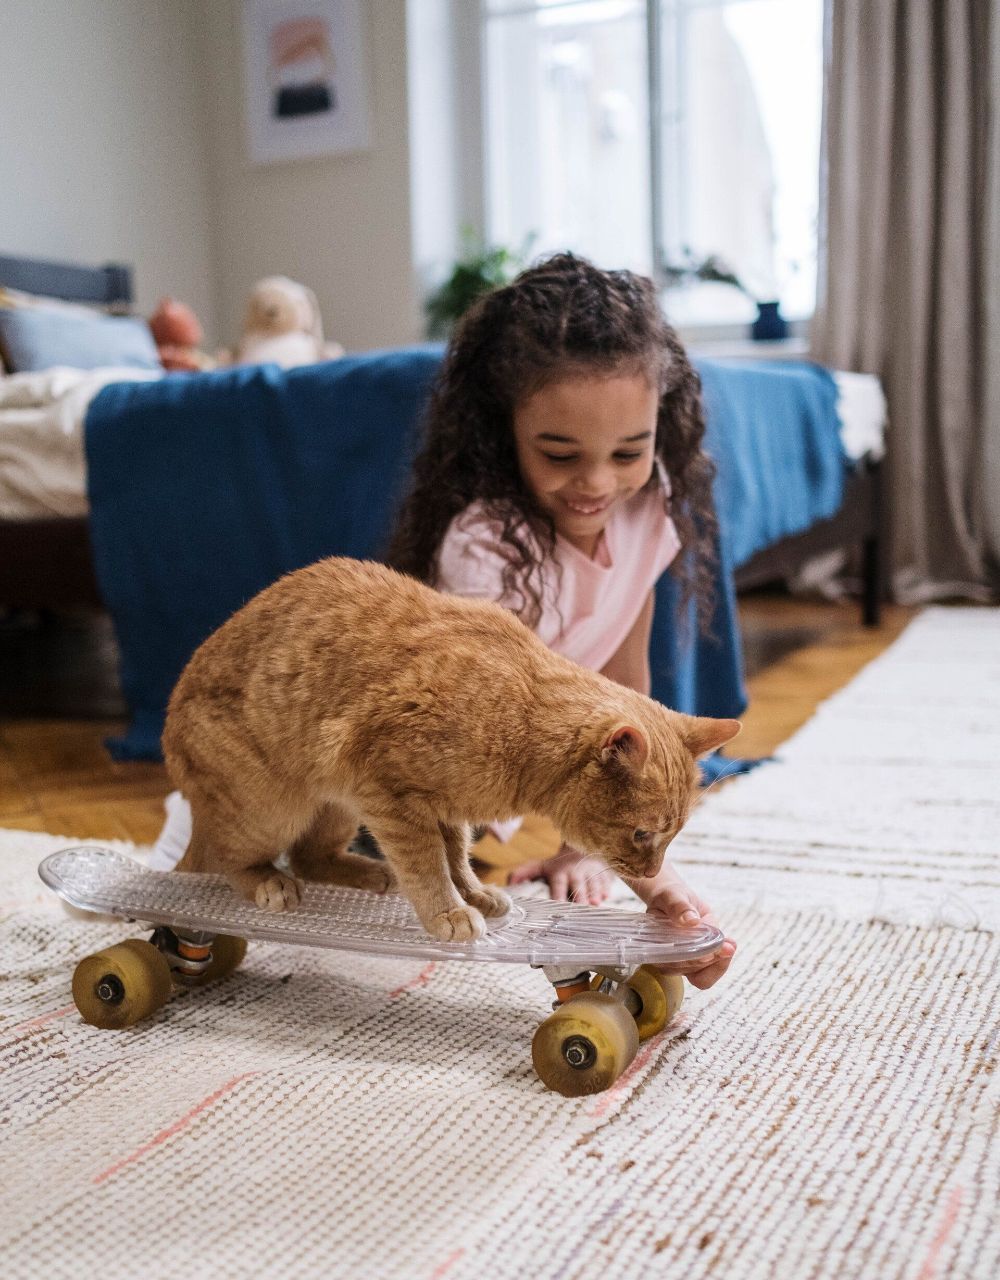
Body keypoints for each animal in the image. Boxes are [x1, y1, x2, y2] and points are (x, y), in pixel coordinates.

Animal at [163, 558, 737, 942]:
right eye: (642, 834)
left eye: (673, 836)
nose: (651, 874)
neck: (520, 714)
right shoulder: (392, 798)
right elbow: (429, 866)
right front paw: (448, 911)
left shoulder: (443, 809)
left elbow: (456, 855)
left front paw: (474, 893)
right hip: (273, 808)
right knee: (229, 859)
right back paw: (268, 881)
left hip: (336, 806)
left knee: (307, 857)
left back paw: (368, 872)